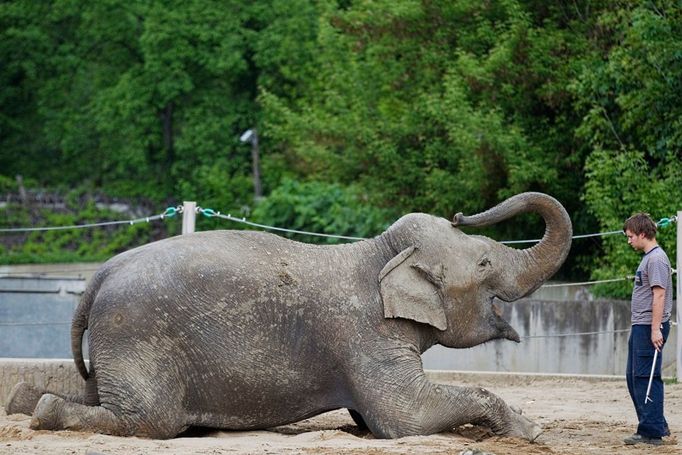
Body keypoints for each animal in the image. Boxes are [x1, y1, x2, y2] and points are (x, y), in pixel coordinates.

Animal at [3, 191, 568, 442]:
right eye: (485, 262)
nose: (460, 211)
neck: (379, 254)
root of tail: (98, 275)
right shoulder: (365, 336)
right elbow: (404, 419)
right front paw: (532, 430)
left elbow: (373, 417)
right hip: (136, 332)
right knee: (151, 419)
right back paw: (45, 411)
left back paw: (25, 399)